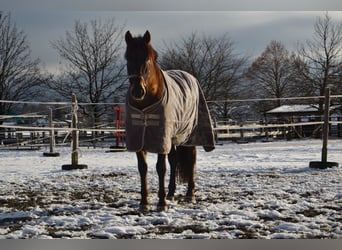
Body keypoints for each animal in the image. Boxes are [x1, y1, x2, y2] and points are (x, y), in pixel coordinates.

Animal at [124, 30, 214, 211]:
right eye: (128, 58)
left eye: (147, 59)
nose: (138, 91)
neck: (145, 106)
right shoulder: (139, 139)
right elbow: (143, 168)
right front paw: (144, 202)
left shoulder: (160, 138)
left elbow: (161, 168)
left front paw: (161, 203)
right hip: (173, 137)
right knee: (174, 160)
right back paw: (171, 192)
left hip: (189, 136)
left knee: (191, 160)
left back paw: (190, 195)